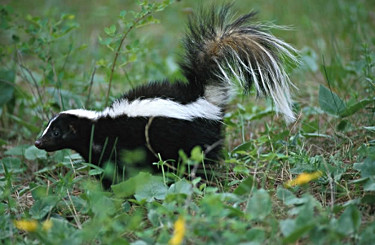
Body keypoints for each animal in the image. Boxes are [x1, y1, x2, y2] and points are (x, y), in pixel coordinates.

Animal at [36, 3, 300, 182]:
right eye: (47, 128)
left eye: (57, 132)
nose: (38, 142)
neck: (97, 125)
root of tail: (203, 96)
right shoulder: (100, 152)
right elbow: (107, 171)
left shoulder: (119, 145)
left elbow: (120, 170)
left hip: (193, 138)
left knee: (201, 160)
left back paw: (199, 179)